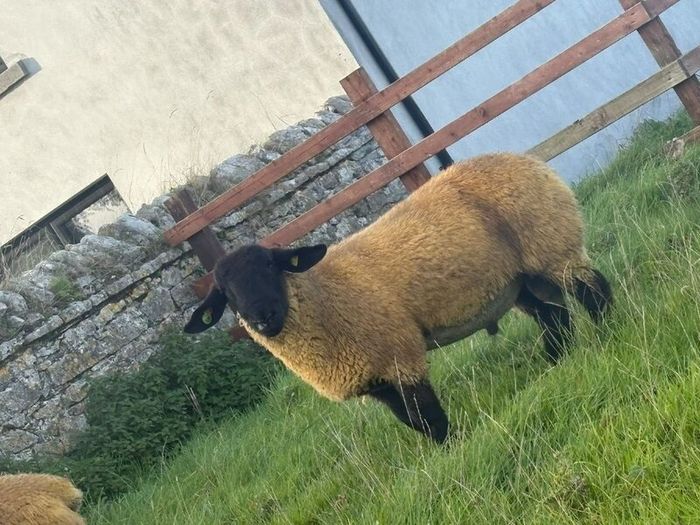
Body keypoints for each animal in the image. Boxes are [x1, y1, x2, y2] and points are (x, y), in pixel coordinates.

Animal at [184, 153, 612, 443]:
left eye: (273, 268)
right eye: (226, 295)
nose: (263, 317)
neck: (324, 298)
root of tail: (524, 159)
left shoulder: (399, 354)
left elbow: (428, 414)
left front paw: (454, 448)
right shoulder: (375, 380)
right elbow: (413, 421)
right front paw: (443, 452)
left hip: (552, 243)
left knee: (593, 290)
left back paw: (610, 331)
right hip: (520, 277)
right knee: (553, 315)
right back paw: (558, 362)